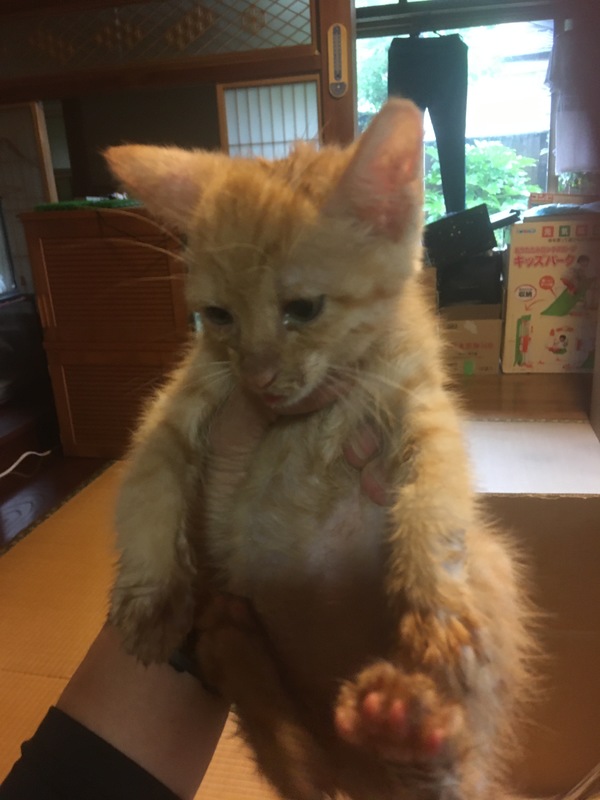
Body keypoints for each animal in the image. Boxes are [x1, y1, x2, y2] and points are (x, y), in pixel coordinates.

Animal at [105, 99, 534, 800]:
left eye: (302, 309)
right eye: (217, 316)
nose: (257, 376)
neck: (309, 417)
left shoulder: (424, 410)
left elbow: (433, 503)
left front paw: (437, 603)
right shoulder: (174, 412)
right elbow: (148, 491)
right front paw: (148, 600)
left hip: (493, 564)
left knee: (454, 776)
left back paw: (411, 729)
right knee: (301, 768)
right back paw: (238, 643)